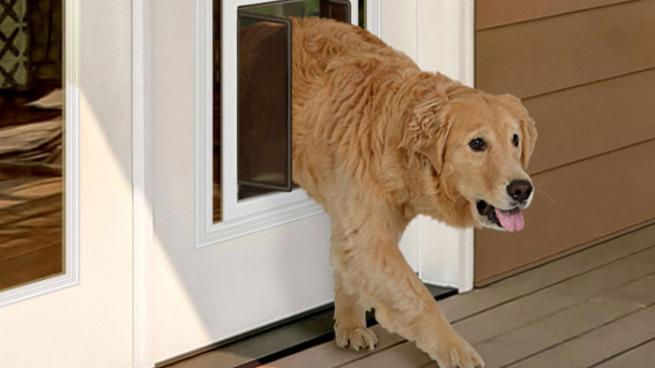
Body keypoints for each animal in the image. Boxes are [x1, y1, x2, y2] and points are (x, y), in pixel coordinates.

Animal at [290, 16, 536, 366]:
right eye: (477, 143)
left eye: (515, 139)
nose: (522, 189)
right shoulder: (370, 237)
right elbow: (418, 297)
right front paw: (457, 351)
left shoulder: (355, 223)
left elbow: (347, 269)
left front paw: (350, 327)